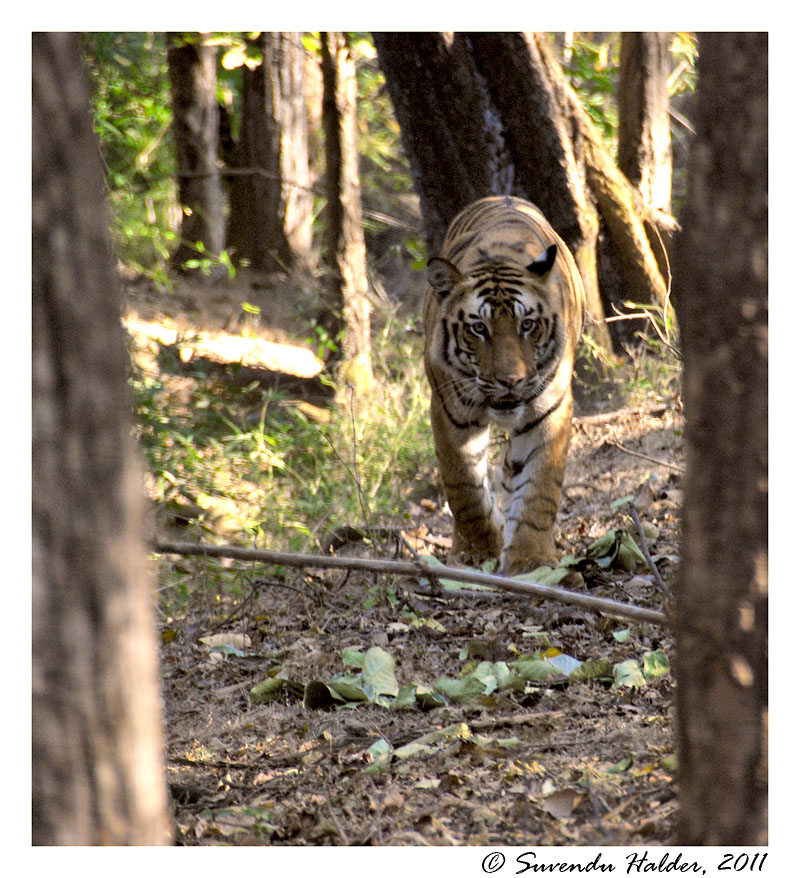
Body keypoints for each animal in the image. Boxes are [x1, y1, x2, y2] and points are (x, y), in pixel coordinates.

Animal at [422, 195, 584, 576]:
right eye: (479, 328)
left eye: (528, 325)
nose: (511, 380)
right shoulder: (449, 412)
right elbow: (464, 488)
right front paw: (478, 551)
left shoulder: (550, 410)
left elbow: (539, 488)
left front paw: (531, 558)